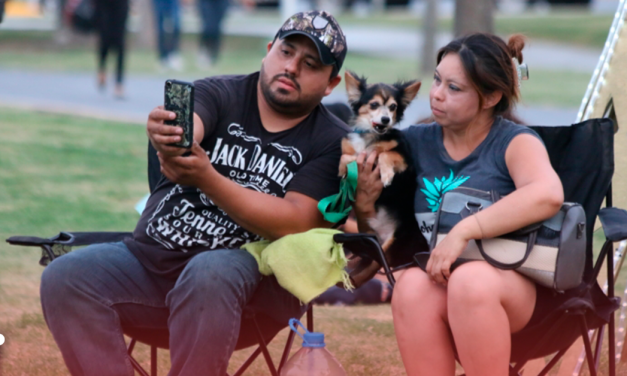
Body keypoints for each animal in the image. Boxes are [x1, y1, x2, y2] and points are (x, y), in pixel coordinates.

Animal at [338, 71, 432, 284]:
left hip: (394, 245)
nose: (386, 119)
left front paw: (387, 174)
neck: (371, 137)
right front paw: (345, 170)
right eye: (374, 104)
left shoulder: (404, 158)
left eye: (393, 107)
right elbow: (346, 158)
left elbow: (385, 154)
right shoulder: (350, 150)